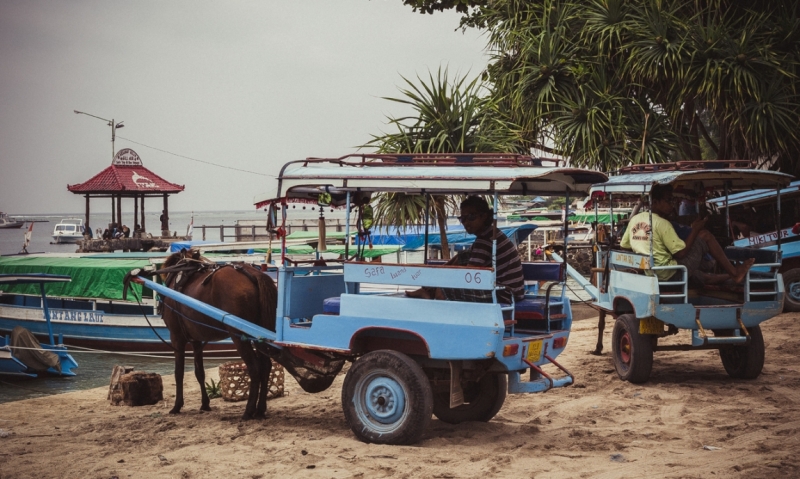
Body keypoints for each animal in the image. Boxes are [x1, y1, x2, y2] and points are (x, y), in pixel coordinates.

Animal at [158, 249, 280, 422]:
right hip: (259, 335)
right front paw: (205, 404)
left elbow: (178, 373)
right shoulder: (196, 340)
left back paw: (249, 410)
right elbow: (199, 372)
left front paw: (177, 406)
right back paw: (260, 409)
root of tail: (254, 273)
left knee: (254, 367)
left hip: (239, 336)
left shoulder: (176, 337)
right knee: (265, 366)